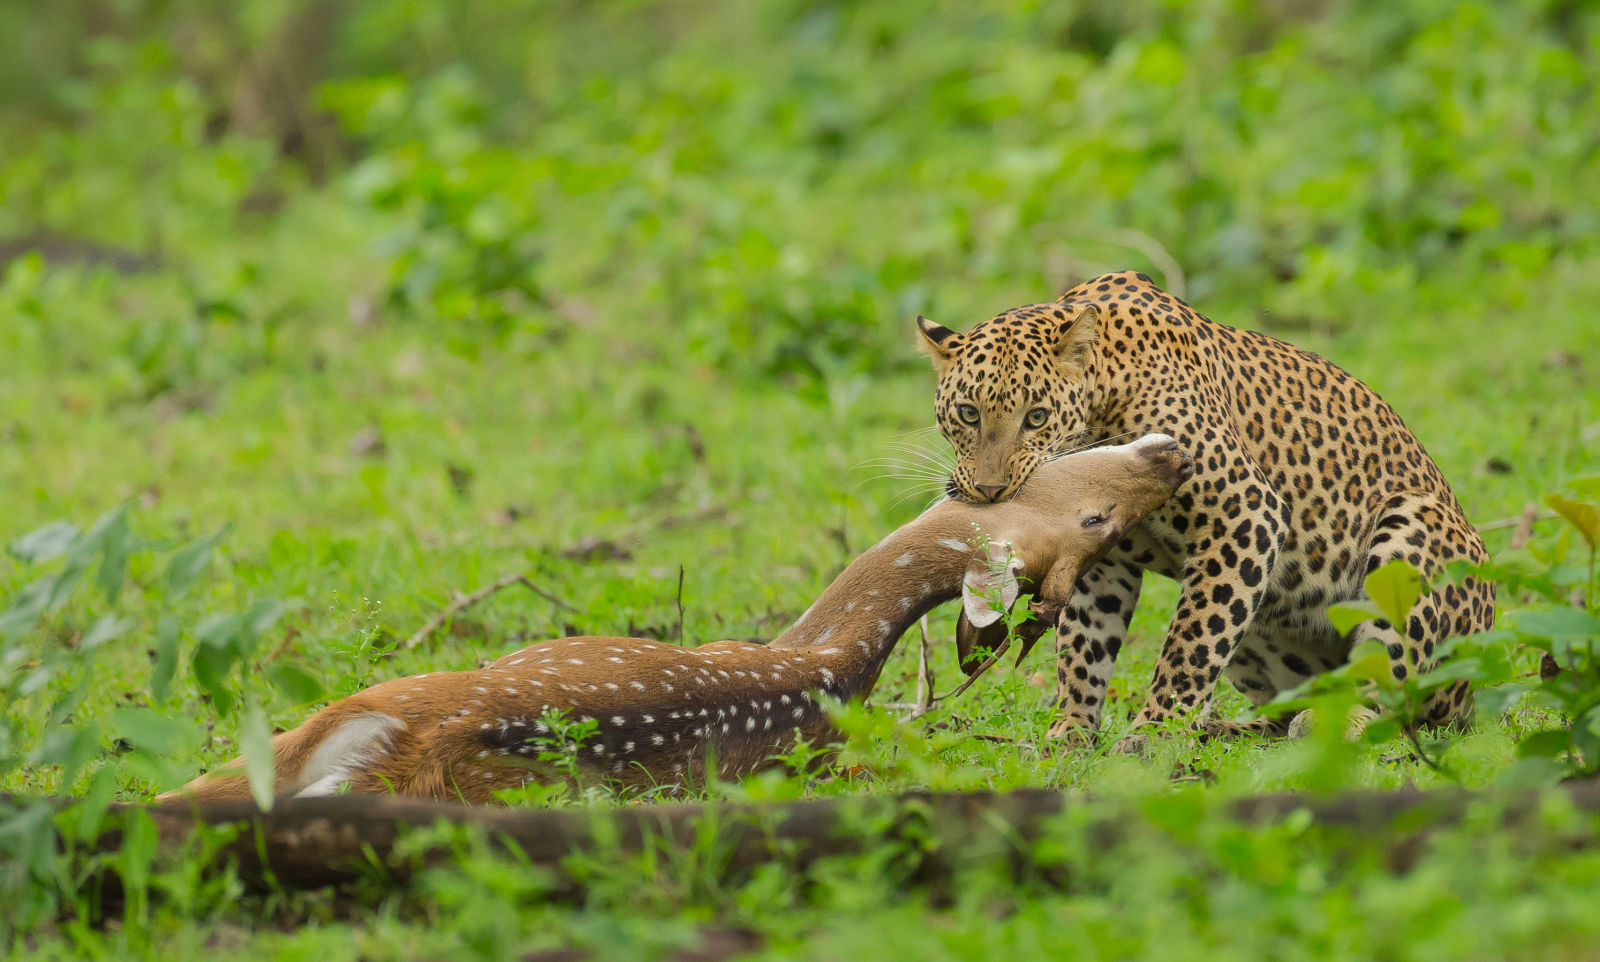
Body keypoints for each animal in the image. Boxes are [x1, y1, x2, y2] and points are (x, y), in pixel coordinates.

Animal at [921, 270, 1491, 749]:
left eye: (1036, 417)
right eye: (968, 413)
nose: (991, 491)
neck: (1103, 402)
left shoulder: (1245, 515)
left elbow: (1191, 642)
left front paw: (1151, 732)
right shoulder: (1104, 562)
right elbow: (1084, 646)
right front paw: (1071, 730)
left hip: (1410, 532)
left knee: (1400, 696)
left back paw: (1335, 721)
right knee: (1284, 703)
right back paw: (1228, 728)